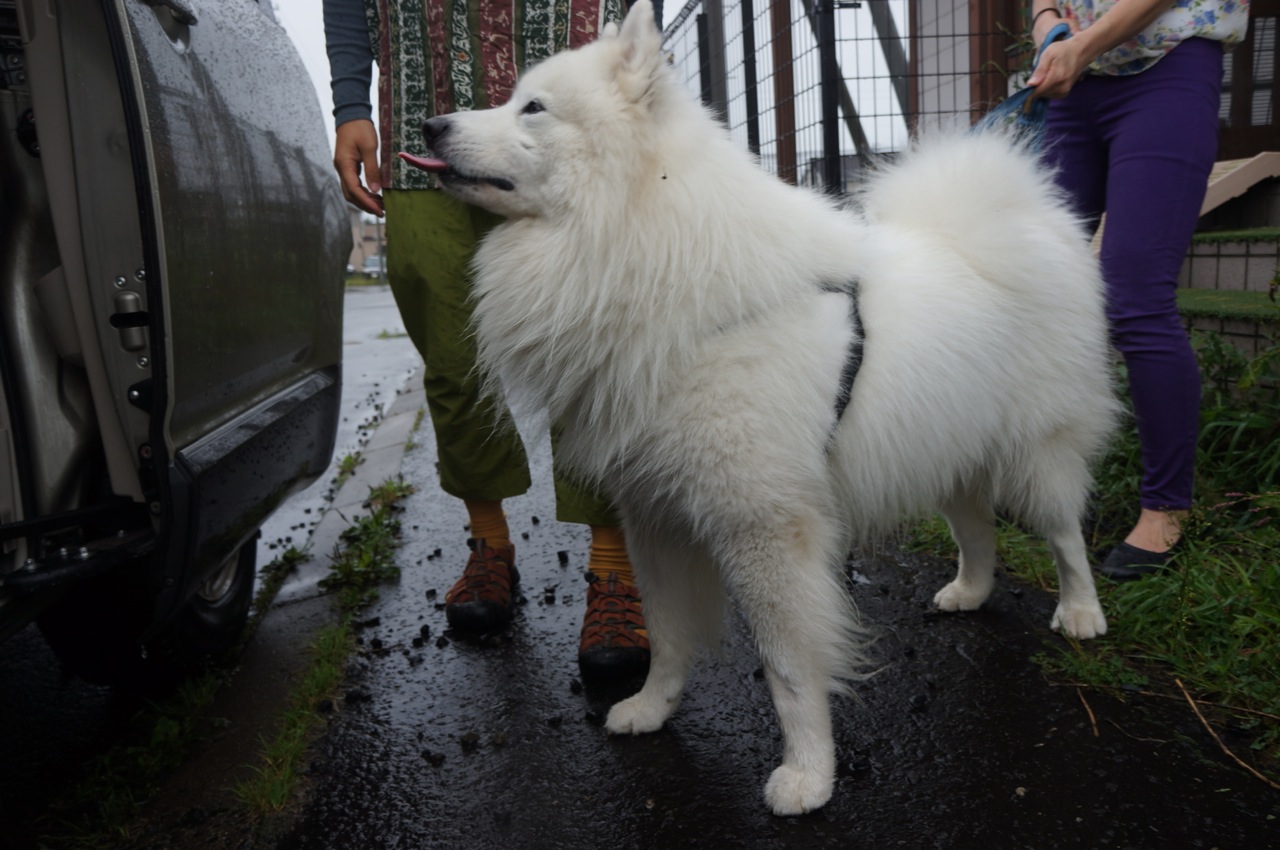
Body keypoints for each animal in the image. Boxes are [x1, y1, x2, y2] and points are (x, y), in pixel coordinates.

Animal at [404, 1, 1116, 819]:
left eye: (533, 108)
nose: (429, 124)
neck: (644, 244)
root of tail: (1016, 223)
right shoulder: (652, 514)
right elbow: (670, 634)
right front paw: (651, 708)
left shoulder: (764, 527)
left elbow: (788, 666)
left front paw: (808, 776)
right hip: (944, 445)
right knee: (975, 526)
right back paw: (968, 590)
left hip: (1038, 451)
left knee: (1065, 534)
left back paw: (1083, 612)